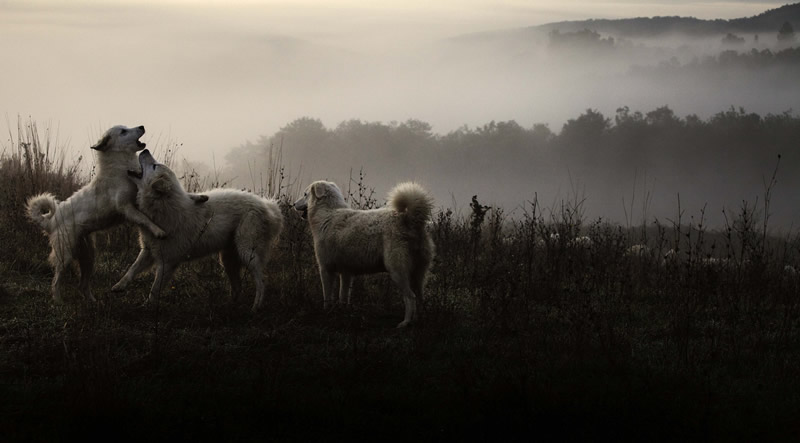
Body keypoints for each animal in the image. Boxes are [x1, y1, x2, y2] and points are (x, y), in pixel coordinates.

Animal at [26, 125, 166, 306]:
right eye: (123, 131)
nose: (141, 126)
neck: (121, 167)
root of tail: (51, 221)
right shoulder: (127, 208)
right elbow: (144, 218)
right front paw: (158, 230)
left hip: (89, 257)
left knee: (83, 285)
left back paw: (93, 301)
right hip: (65, 254)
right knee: (56, 280)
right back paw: (58, 301)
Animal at [111, 151, 286, 310]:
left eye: (154, 166)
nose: (145, 150)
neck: (163, 206)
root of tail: (268, 206)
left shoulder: (167, 263)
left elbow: (154, 289)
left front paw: (147, 307)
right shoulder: (148, 251)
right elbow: (132, 269)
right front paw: (119, 286)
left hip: (247, 252)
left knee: (261, 281)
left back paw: (255, 307)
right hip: (227, 259)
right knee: (237, 287)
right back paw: (229, 307)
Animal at [294, 180, 434, 330]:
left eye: (305, 194)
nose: (293, 204)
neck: (327, 212)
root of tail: (409, 218)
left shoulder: (325, 269)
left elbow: (327, 296)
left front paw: (326, 312)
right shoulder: (346, 273)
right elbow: (343, 296)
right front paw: (342, 313)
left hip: (398, 272)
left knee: (410, 297)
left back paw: (405, 323)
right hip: (418, 273)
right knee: (420, 297)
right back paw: (417, 321)